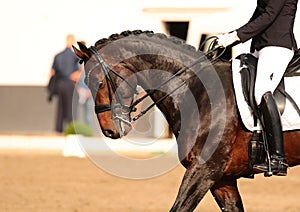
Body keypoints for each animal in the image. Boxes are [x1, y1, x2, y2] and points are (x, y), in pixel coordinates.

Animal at [73, 30, 300, 212]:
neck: (197, 88)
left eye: (98, 81)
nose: (108, 130)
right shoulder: (222, 179)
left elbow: (178, 208)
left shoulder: (204, 169)